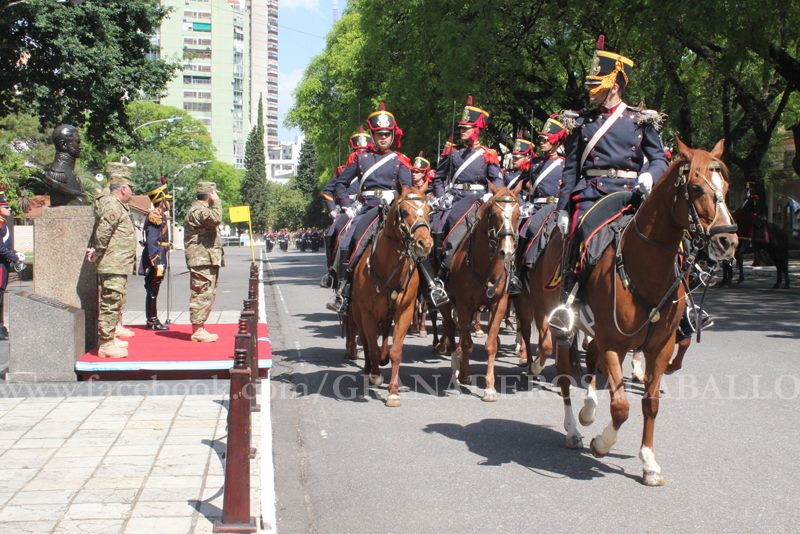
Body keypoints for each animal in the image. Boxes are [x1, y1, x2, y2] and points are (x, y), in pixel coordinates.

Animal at [348, 186, 434, 408]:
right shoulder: (367, 314)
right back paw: (369, 368)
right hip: (358, 313)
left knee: (384, 337)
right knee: (365, 340)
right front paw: (375, 374)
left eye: (429, 210)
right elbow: (370, 345)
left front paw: (393, 392)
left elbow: (396, 351)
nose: (425, 243)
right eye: (403, 211)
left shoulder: (404, 311)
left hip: (388, 315)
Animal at [438, 183, 524, 402]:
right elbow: (467, 342)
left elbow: (491, 344)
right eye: (494, 214)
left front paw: (490, 387)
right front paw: (464, 374)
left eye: (518, 214)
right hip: (447, 303)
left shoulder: (499, 304)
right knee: (451, 329)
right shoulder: (463, 305)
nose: (507, 251)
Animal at [528, 137, 740, 486]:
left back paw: (588, 410)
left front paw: (649, 462)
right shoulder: (614, 342)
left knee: (591, 364)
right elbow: (621, 406)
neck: (646, 268)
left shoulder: (659, 347)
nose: (727, 241)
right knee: (565, 376)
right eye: (696, 188)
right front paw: (602, 443)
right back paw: (573, 429)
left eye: (726, 185)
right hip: (564, 328)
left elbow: (649, 403)